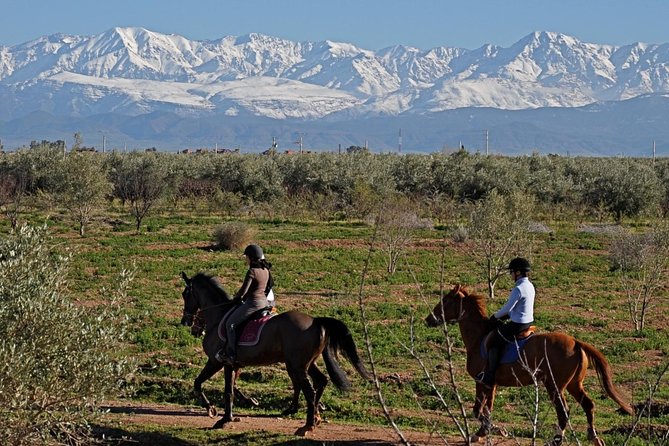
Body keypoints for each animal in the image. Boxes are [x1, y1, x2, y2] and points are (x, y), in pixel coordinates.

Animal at [179, 272, 370, 436]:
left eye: (185, 294)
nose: (186, 322)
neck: (218, 316)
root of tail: (316, 321)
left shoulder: (219, 362)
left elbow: (210, 386)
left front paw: (216, 413)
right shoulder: (233, 365)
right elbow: (230, 388)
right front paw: (236, 409)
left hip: (297, 365)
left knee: (309, 390)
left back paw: (306, 426)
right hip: (305, 364)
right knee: (320, 381)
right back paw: (314, 417)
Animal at [426, 286, 636, 446]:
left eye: (446, 301)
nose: (428, 319)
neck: (479, 338)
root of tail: (576, 342)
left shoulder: (482, 382)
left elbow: (478, 410)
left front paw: (493, 431)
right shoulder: (491, 384)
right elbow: (487, 409)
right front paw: (483, 432)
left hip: (554, 385)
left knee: (563, 411)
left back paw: (557, 440)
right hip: (573, 384)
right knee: (588, 404)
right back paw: (593, 437)